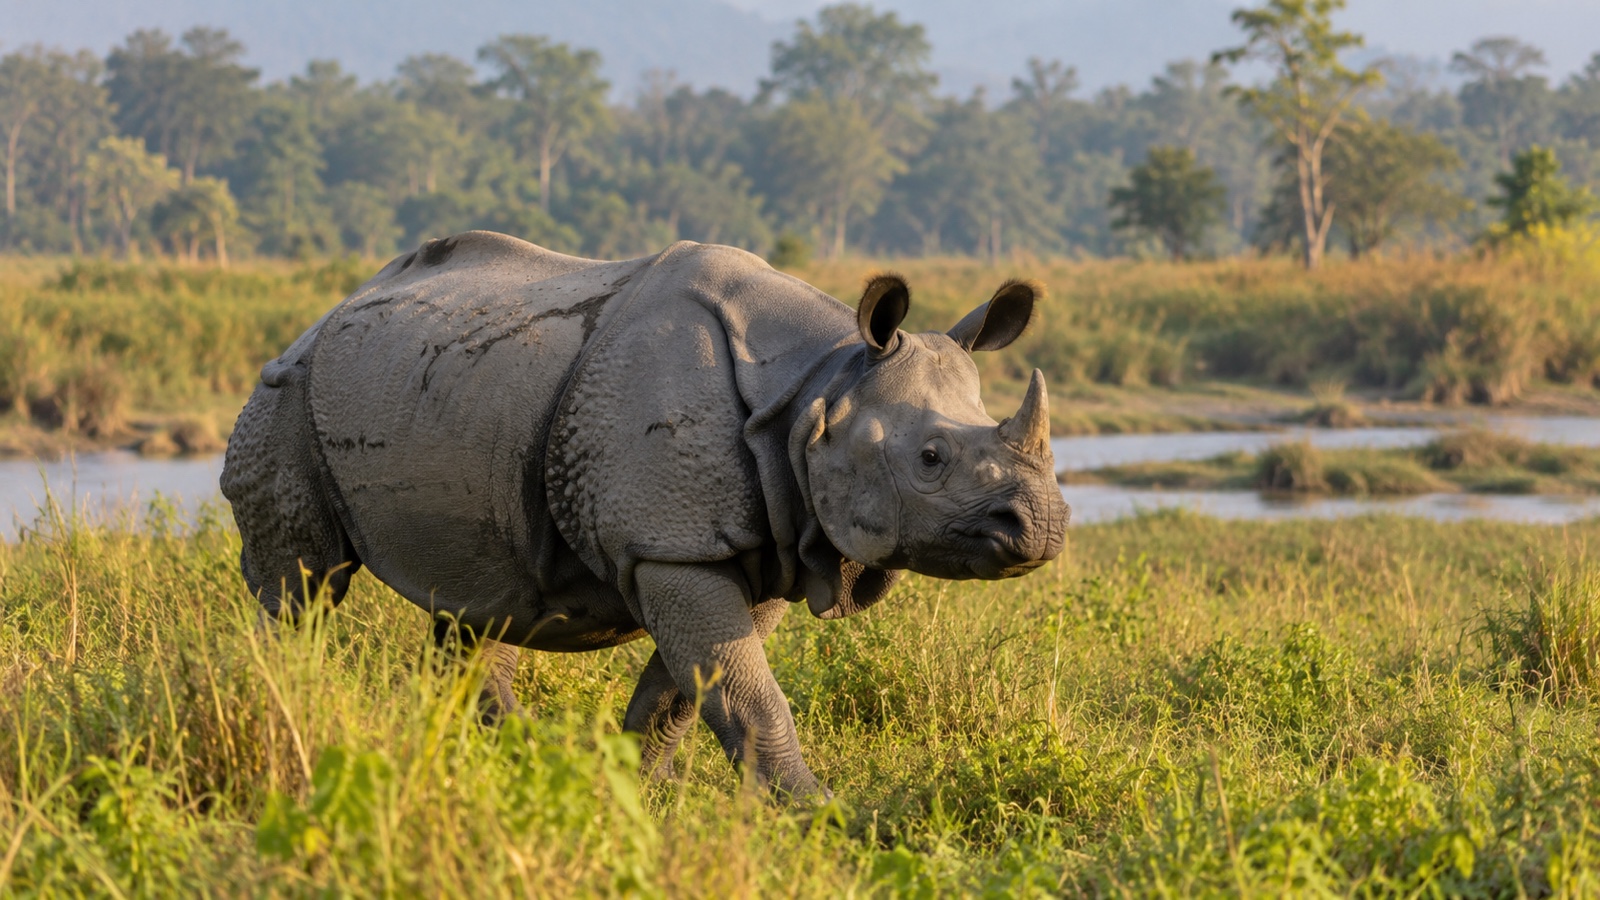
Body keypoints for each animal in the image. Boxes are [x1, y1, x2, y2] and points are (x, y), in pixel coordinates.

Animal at [222, 231, 1069, 797]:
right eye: (931, 458)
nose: (1043, 528)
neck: (819, 389)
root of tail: (325, 313)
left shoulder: (756, 546)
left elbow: (692, 689)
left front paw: (631, 792)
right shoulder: (672, 543)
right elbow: (747, 690)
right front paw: (817, 813)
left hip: (445, 388)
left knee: (475, 605)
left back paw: (517, 761)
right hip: (286, 391)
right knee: (303, 588)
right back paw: (278, 700)